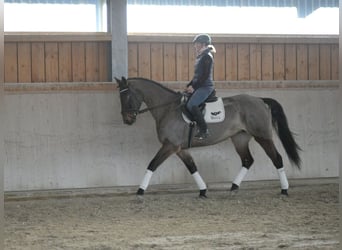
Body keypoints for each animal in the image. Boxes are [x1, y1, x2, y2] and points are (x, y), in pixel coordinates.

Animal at [115, 76, 302, 197]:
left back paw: (284, 190)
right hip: (240, 138)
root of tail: (260, 100)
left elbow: (152, 164)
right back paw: (234, 188)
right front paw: (203, 191)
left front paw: (140, 191)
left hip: (262, 137)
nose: (127, 119)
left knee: (277, 159)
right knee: (247, 160)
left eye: (127, 95)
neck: (168, 109)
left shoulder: (170, 146)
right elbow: (192, 167)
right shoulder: (179, 148)